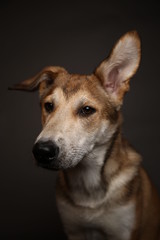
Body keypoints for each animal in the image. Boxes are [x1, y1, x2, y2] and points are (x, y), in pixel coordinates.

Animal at [10, 31, 160, 239]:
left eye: (87, 110)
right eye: (48, 106)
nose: (42, 151)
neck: (88, 186)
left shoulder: (124, 231)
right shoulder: (74, 230)